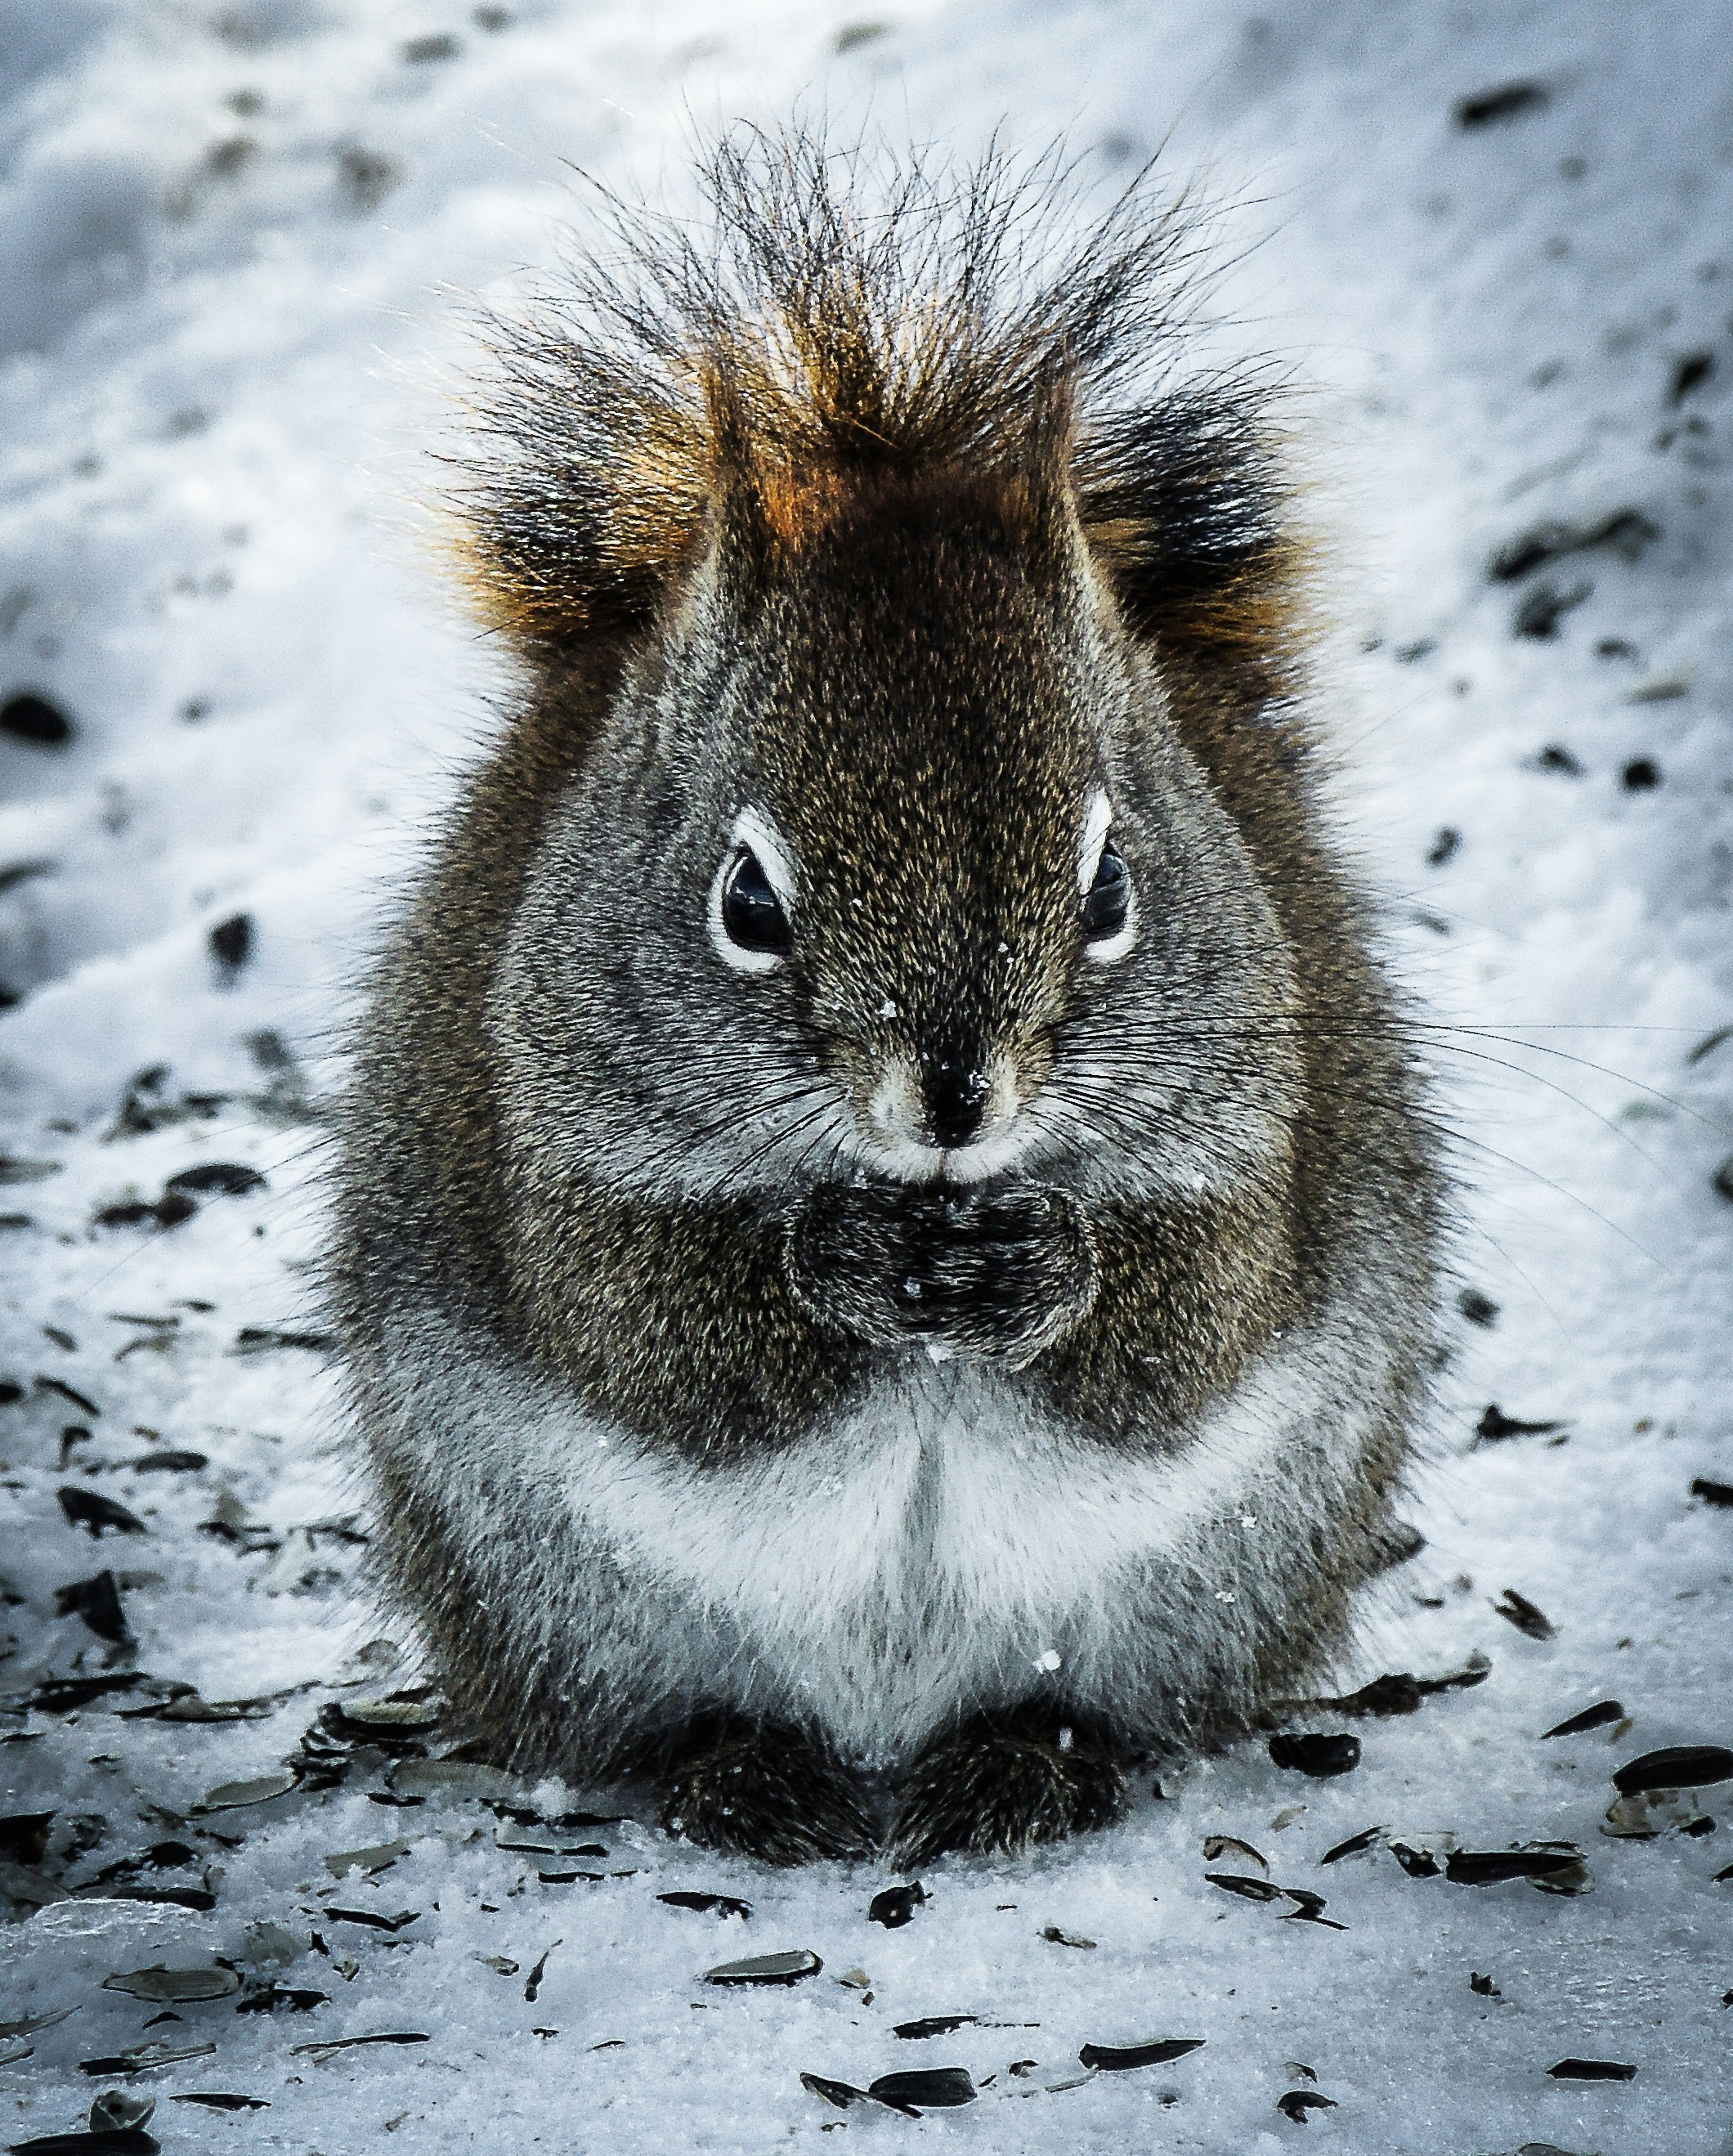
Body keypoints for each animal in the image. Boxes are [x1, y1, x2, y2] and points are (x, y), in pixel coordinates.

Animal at [329, 131, 1444, 1866]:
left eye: (1112, 890)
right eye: (745, 902)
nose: (955, 1095)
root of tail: (881, 1737)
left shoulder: (1257, 1146)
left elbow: (1179, 1341)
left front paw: (1046, 1265)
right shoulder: (546, 1156)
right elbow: (667, 1353)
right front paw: (837, 1260)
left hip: (1219, 1586)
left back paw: (1024, 1761)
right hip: (553, 1599)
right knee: (645, 1717)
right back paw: (740, 1768)